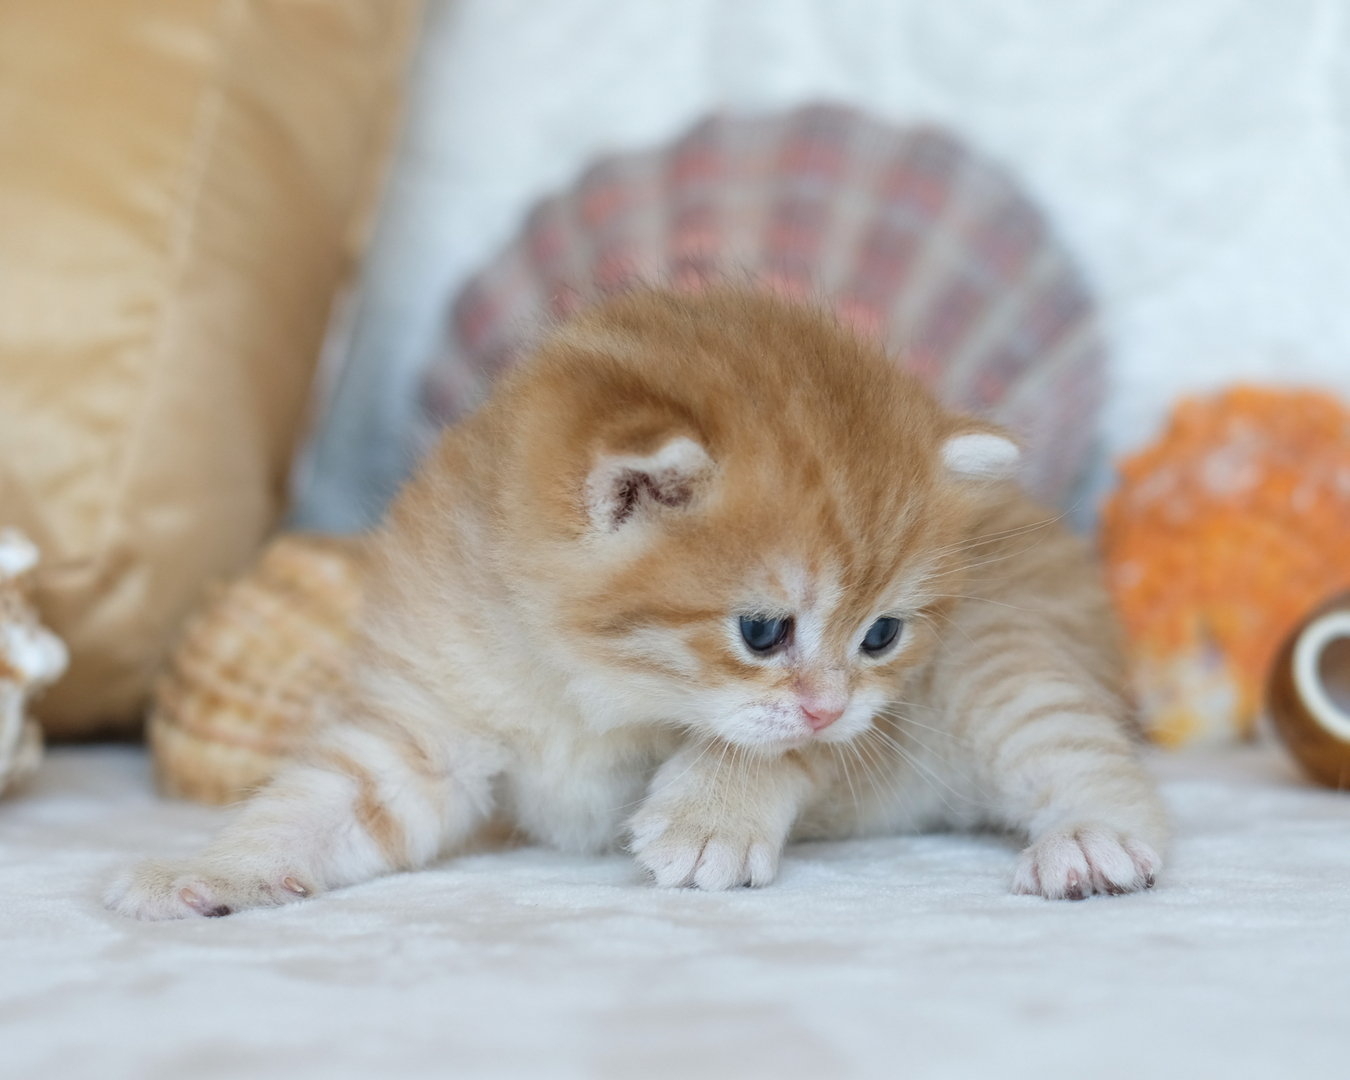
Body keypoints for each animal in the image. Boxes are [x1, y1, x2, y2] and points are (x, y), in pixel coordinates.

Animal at [108, 288, 1161, 918]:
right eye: (764, 630)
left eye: (881, 635)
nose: (830, 704)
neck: (578, 683)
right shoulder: (426, 724)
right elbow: (320, 801)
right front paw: (209, 870)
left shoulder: (883, 709)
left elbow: (773, 748)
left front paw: (711, 816)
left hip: (999, 662)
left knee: (1081, 750)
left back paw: (1091, 842)